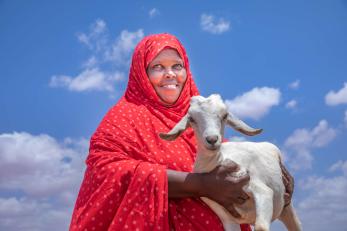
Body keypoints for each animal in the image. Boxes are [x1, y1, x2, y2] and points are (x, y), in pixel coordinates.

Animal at [160, 94, 302, 231]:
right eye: (192, 119)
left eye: (224, 116)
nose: (212, 139)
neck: (220, 160)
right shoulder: (225, 215)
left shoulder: (263, 192)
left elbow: (261, 226)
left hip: (286, 206)